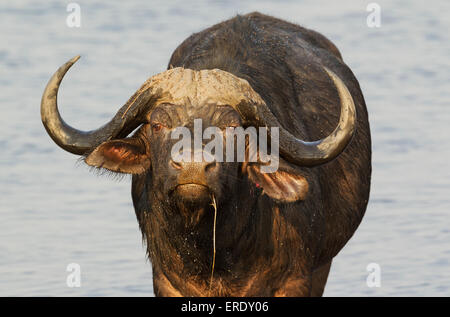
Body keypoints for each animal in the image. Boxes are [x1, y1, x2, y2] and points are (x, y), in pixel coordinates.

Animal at [41, 11, 372, 294]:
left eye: (231, 127)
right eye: (158, 124)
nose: (192, 168)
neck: (214, 252)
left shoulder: (298, 279)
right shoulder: (165, 280)